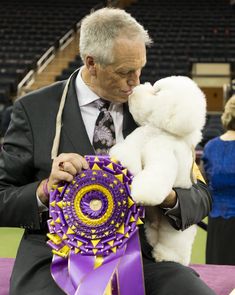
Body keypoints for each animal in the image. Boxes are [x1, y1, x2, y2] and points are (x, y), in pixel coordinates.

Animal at [109, 76, 206, 266]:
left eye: (156, 92)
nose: (135, 90)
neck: (158, 131)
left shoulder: (163, 155)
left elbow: (154, 177)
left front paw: (142, 194)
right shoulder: (136, 140)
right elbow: (127, 151)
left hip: (175, 231)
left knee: (173, 245)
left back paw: (166, 256)